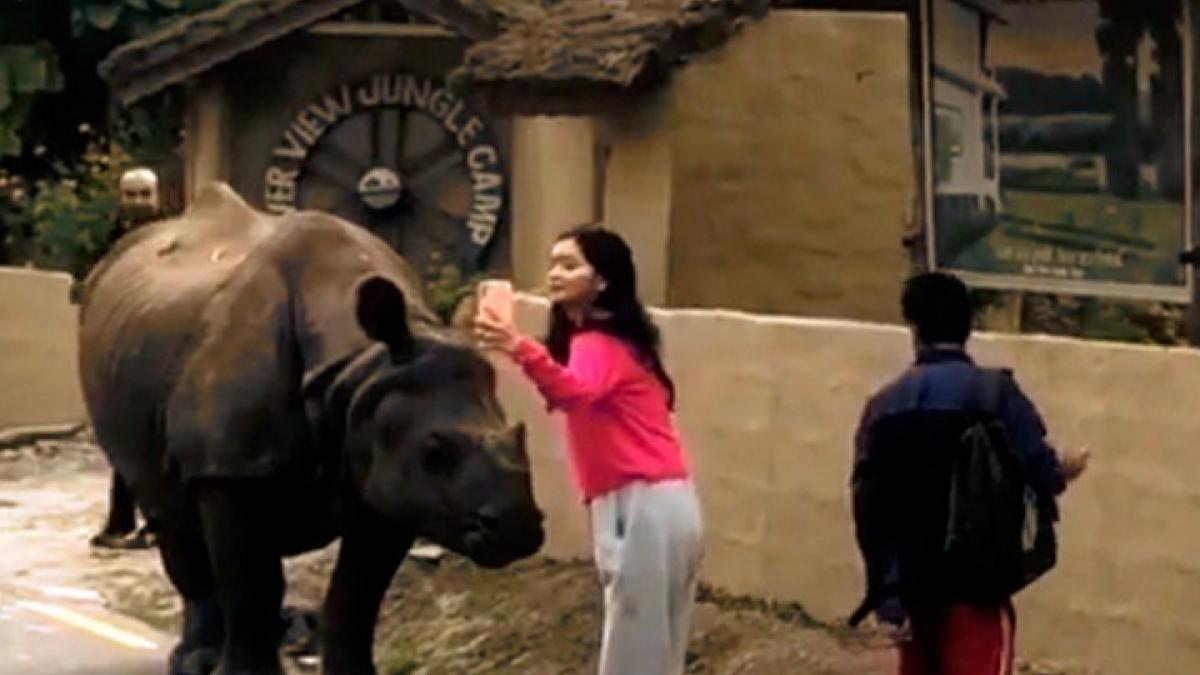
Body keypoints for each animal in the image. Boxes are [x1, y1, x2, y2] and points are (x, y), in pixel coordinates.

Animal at [77, 183, 544, 675]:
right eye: (434, 451)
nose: (518, 527)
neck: (358, 365)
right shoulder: (229, 467)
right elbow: (254, 586)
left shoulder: (390, 479)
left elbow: (356, 597)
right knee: (164, 504)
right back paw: (195, 662)